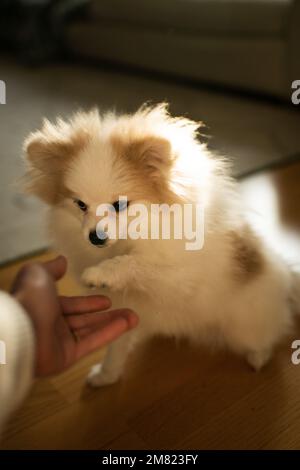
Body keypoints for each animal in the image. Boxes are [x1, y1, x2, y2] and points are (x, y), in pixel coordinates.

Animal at [24, 103, 300, 386]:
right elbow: (117, 346)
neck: (136, 235)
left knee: (266, 335)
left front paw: (101, 273)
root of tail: (285, 276)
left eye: (119, 205)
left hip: (243, 325)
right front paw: (106, 375)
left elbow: (135, 264)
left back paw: (258, 356)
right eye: (80, 205)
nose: (95, 236)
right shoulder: (127, 307)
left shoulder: (178, 277)